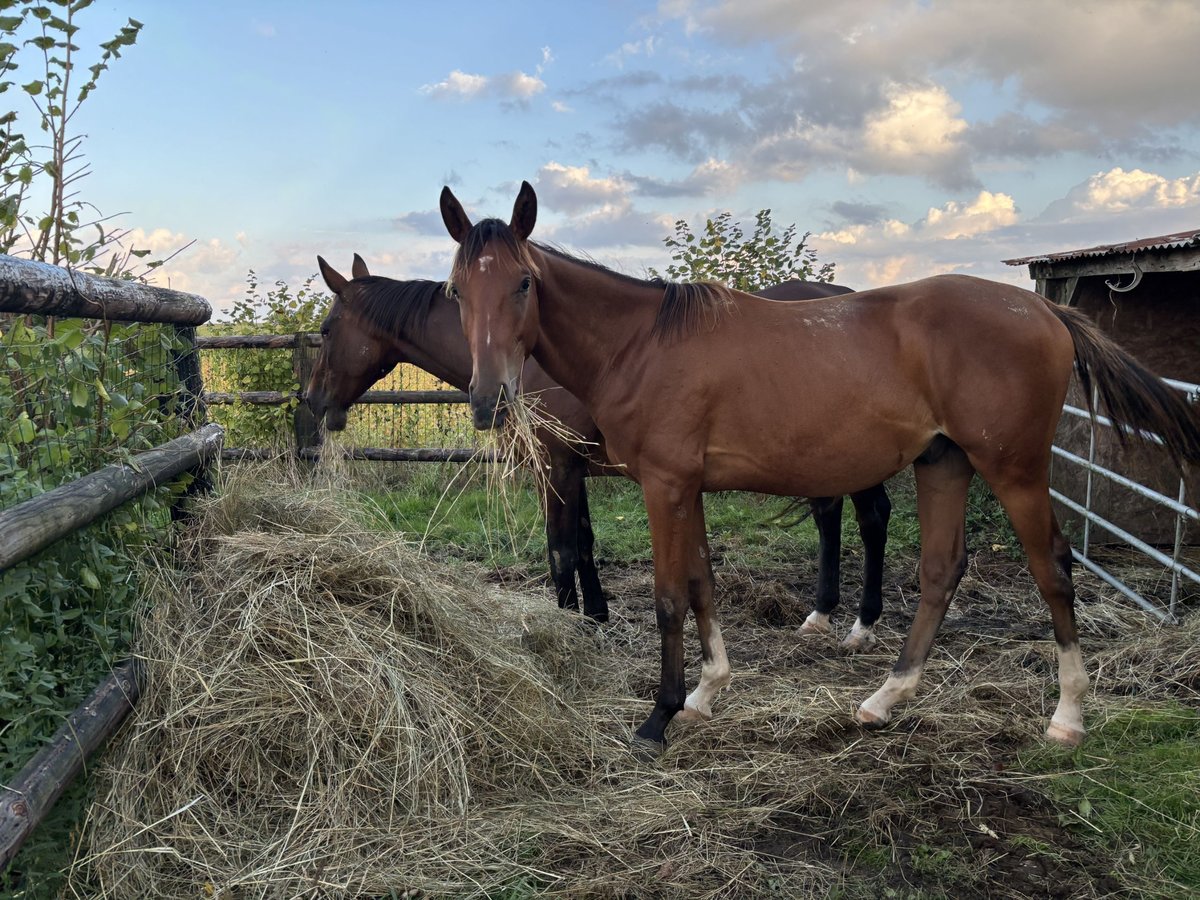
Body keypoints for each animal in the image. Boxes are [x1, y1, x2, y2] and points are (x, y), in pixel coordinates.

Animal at [307, 255, 892, 643]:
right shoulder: (577, 466)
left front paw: (570, 625)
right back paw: (822, 612)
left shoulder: (556, 466)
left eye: (328, 328)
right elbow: (585, 541)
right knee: (832, 515)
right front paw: (595, 614)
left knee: (872, 518)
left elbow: (561, 546)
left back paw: (861, 622)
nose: (312, 401)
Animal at [439, 180, 1200, 748]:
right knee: (939, 571)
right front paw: (707, 690)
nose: (488, 401)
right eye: (456, 291)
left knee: (1053, 569)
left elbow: (668, 597)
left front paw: (660, 715)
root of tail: (1043, 311)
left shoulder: (664, 486)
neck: (641, 344)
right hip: (944, 462)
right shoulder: (688, 487)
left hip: (1012, 470)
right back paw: (885, 698)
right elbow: (702, 582)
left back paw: (1067, 715)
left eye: (524, 284)